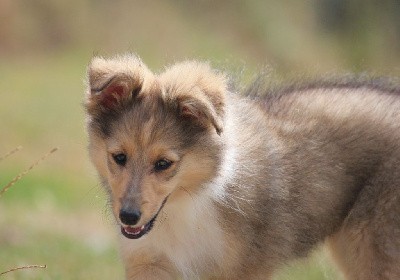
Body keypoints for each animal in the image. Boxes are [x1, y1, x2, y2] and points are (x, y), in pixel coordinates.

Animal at [85, 53, 400, 278]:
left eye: (164, 163)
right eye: (119, 157)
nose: (128, 217)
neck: (189, 203)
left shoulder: (241, 270)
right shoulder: (150, 260)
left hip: (373, 250)